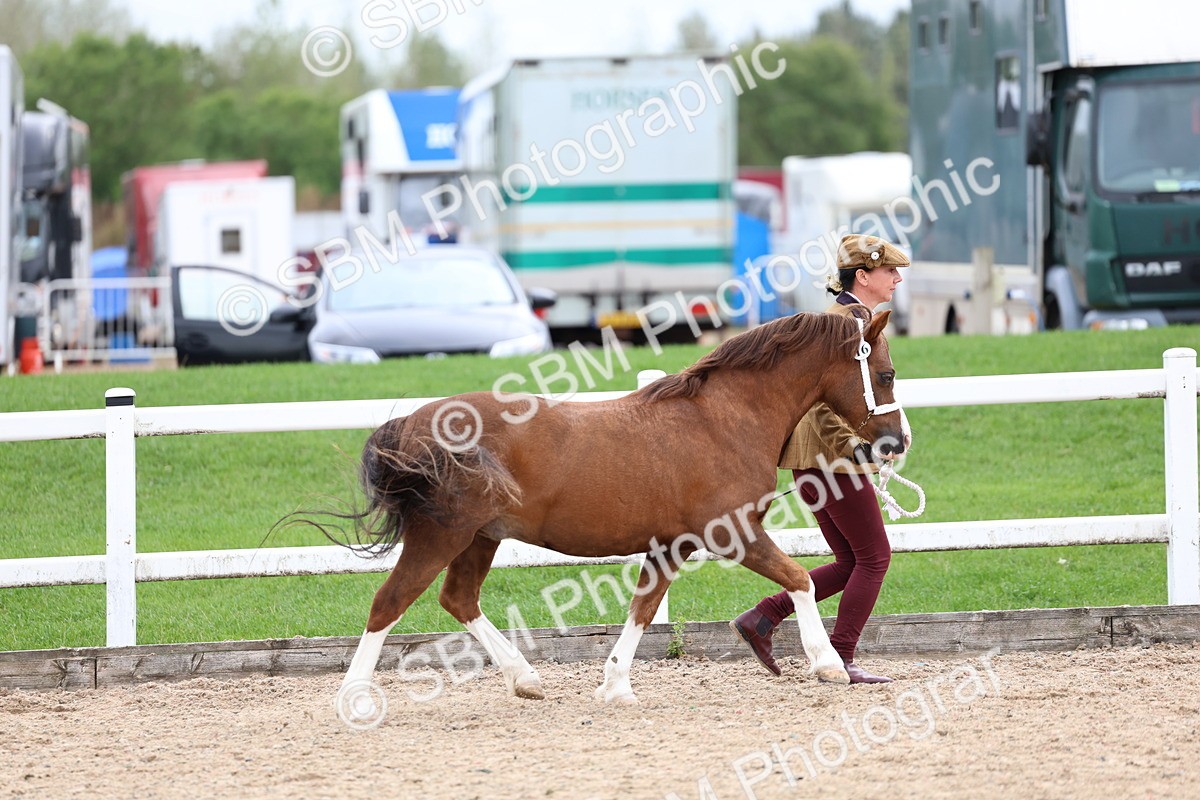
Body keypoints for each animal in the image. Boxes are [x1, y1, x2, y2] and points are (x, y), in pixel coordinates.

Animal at [309, 307, 904, 719]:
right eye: (888, 373)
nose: (895, 443)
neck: (722, 418)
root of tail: (412, 424)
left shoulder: (670, 545)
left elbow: (643, 609)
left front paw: (615, 685)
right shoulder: (732, 533)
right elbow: (801, 577)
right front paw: (828, 664)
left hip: (480, 537)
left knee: (458, 598)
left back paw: (525, 679)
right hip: (442, 535)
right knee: (389, 603)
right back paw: (353, 699)